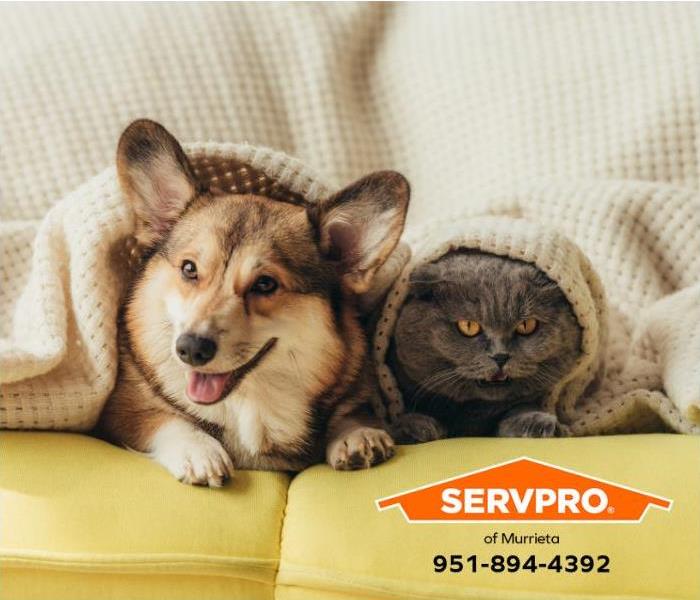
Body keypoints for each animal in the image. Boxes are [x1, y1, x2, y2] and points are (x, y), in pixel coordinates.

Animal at [95, 119, 408, 486]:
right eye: (189, 269)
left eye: (265, 284)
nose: (190, 349)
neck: (251, 403)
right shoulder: (121, 410)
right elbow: (164, 419)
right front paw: (199, 451)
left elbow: (353, 413)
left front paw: (358, 434)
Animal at [388, 248, 580, 440]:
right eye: (468, 326)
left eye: (526, 325)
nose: (500, 356)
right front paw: (413, 426)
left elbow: (520, 407)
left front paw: (541, 424)